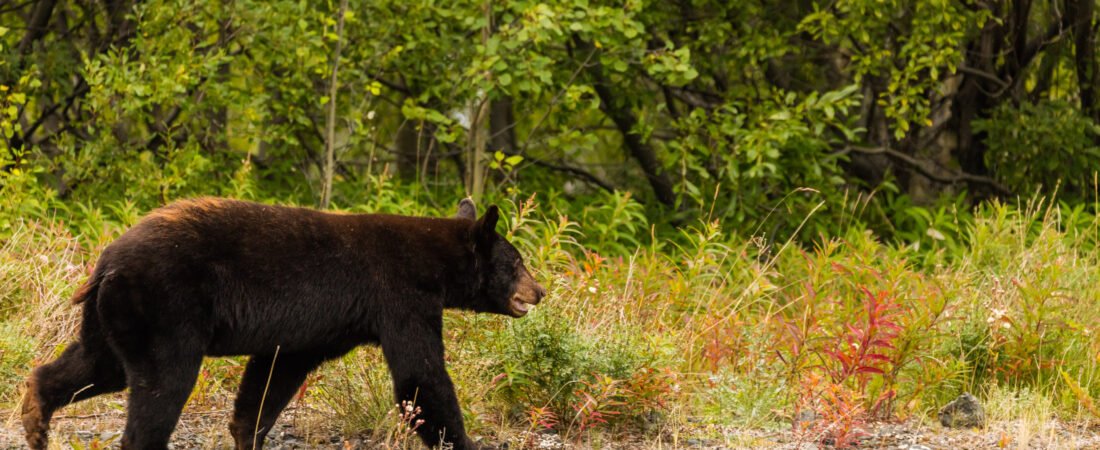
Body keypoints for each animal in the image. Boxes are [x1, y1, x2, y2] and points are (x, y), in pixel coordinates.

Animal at [21, 197, 546, 450]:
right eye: (517, 262)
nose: (539, 291)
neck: (435, 263)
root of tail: (106, 261)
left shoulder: (313, 330)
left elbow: (273, 375)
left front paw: (246, 432)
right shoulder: (401, 296)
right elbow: (421, 376)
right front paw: (466, 440)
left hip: (115, 315)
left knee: (94, 365)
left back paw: (34, 418)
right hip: (165, 307)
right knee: (162, 384)